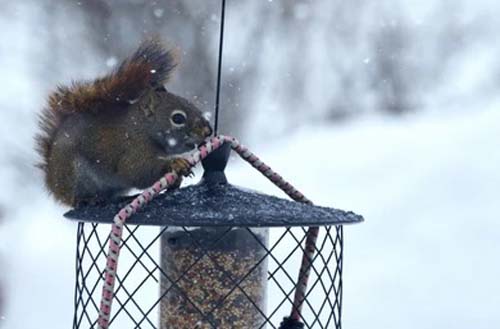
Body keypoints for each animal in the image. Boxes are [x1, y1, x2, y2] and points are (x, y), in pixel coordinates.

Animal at [34, 38, 211, 206]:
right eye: (178, 118)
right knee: (73, 198)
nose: (208, 131)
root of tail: (51, 180)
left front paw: (176, 180)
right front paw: (175, 163)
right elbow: (138, 171)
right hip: (74, 175)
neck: (143, 128)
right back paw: (87, 199)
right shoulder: (132, 149)